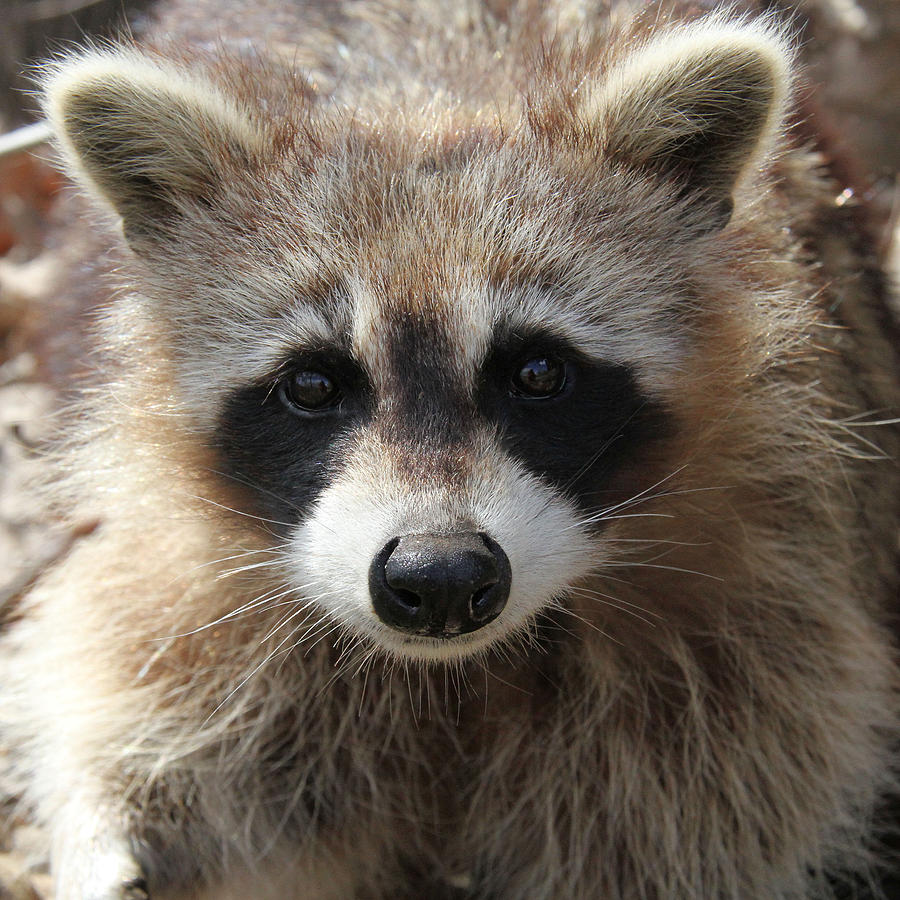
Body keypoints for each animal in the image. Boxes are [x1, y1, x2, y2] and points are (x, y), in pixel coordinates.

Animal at [1, 0, 900, 896]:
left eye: (539, 372)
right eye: (313, 384)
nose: (439, 578)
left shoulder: (754, 606)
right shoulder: (204, 593)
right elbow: (142, 665)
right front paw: (112, 819)